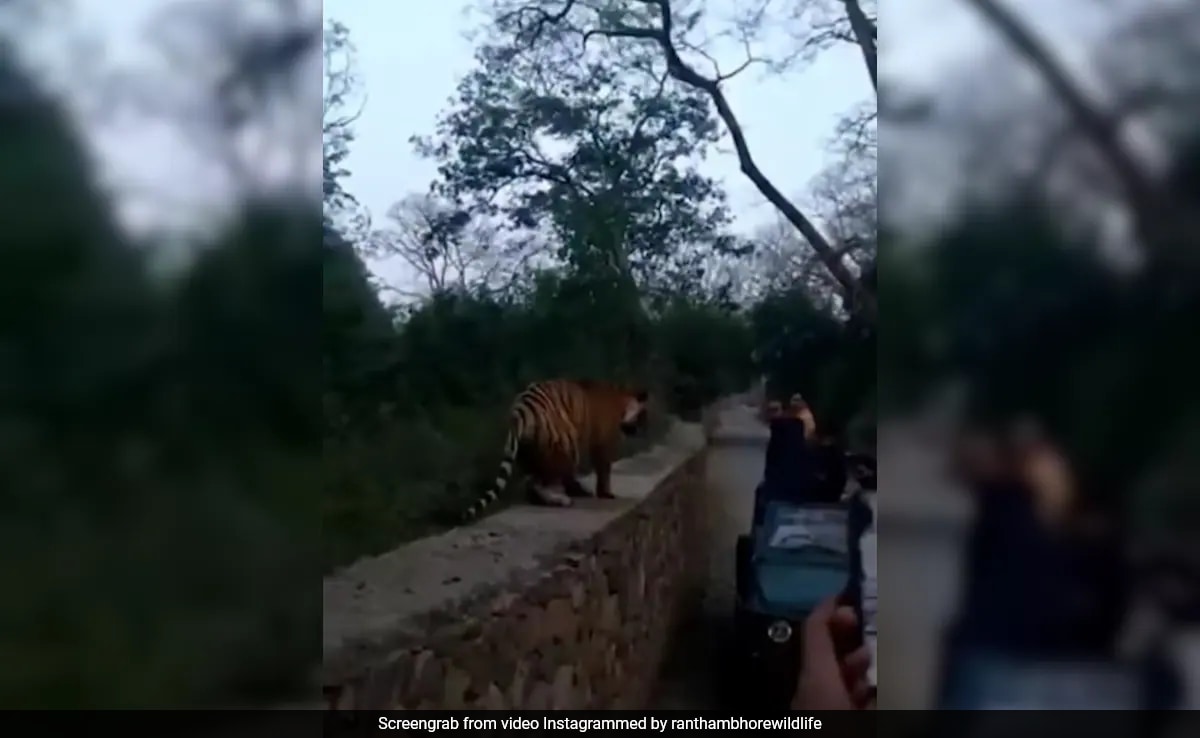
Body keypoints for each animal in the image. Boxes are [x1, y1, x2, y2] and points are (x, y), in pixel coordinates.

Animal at [460, 379, 652, 523]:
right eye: (643, 416)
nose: (642, 429)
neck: (620, 399)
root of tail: (520, 409)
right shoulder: (602, 444)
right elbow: (604, 471)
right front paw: (606, 494)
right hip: (567, 445)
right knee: (545, 481)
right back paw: (563, 498)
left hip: (531, 453)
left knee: (532, 482)